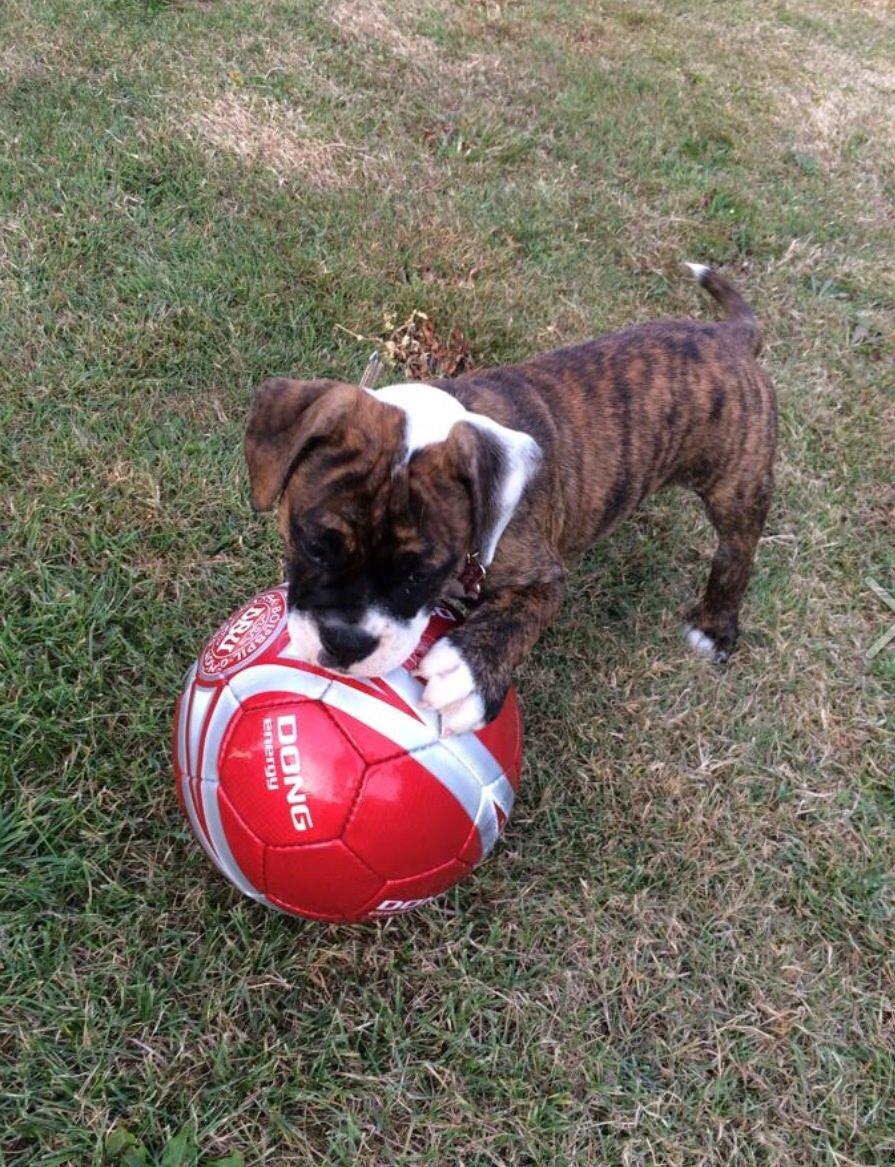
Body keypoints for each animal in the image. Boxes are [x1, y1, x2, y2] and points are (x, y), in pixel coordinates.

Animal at [245, 267, 774, 732]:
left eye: (419, 574)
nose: (345, 642)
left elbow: (517, 618)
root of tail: (729, 336)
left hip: (737, 484)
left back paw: (715, 626)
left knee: (737, 551)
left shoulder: (542, 578)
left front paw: (468, 674)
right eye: (313, 547)